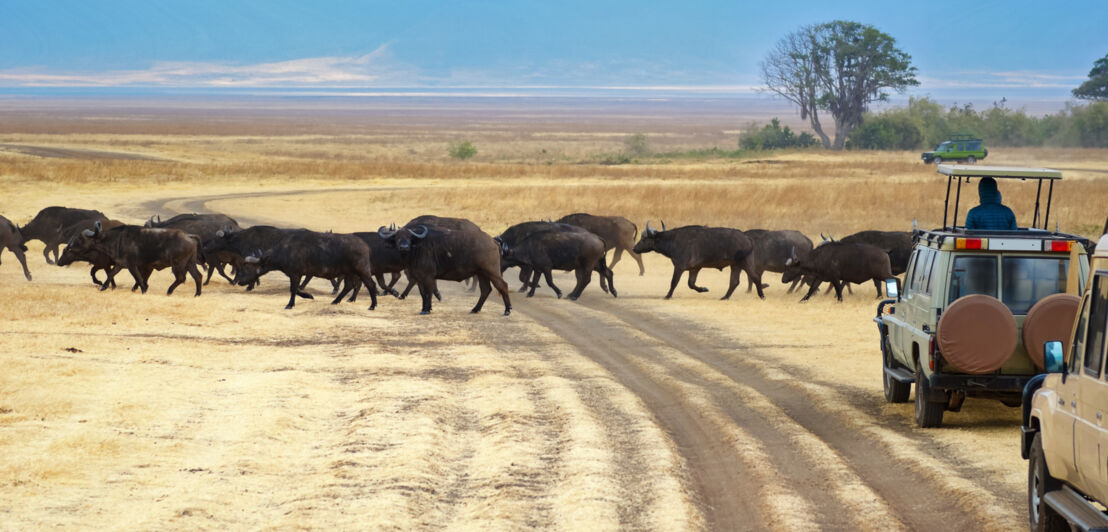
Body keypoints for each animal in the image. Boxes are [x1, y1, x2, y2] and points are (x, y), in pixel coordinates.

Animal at [58, 220, 202, 294]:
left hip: (178, 265)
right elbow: (110, 275)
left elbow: (139, 279)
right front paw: (103, 287)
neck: (117, 240)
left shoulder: (132, 265)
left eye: (80, 239)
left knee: (181, 278)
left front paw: (143, 290)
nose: (69, 246)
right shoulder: (120, 264)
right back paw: (197, 294)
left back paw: (169, 291)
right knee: (198, 276)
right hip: (190, 263)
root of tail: (189, 236)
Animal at [229, 229, 376, 312]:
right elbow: (297, 289)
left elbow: (293, 289)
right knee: (348, 286)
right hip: (349, 273)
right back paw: (335, 301)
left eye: (246, 267)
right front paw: (309, 295)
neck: (286, 250)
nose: (239, 282)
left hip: (361, 271)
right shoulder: (296, 275)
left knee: (370, 285)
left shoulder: (295, 274)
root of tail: (364, 245)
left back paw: (373, 305)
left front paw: (290, 304)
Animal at [374, 216, 507, 314]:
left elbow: (429, 291)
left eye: (410, 238)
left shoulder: (428, 276)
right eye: (397, 238)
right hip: (481, 273)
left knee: (503, 285)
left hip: (491, 271)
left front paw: (427, 309)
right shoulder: (419, 276)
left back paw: (507, 310)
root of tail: (493, 241)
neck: (417, 248)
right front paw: (424, 307)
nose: (404, 247)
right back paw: (475, 309)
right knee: (485, 290)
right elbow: (423, 293)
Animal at [633, 221, 762, 299]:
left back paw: (762, 296)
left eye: (643, 239)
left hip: (745, 263)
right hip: (735, 265)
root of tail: (747, 238)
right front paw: (703, 289)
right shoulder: (694, 269)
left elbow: (674, 282)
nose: (634, 248)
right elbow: (691, 284)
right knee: (734, 282)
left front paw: (667, 296)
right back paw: (724, 297)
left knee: (755, 278)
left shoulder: (679, 267)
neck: (673, 241)